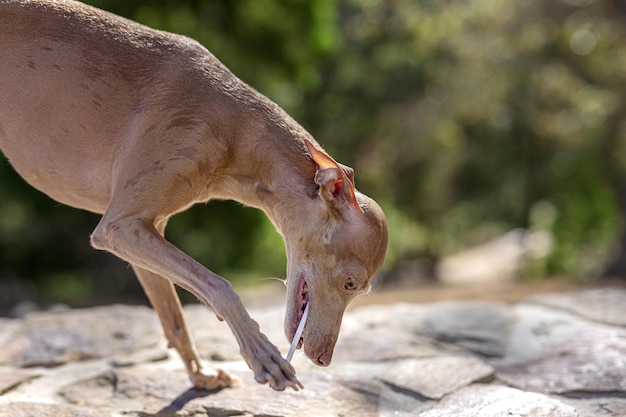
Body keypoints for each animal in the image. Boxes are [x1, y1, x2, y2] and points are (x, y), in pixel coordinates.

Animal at [0, 0, 388, 390]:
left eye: (359, 290)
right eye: (350, 283)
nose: (323, 358)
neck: (234, 124)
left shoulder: (144, 228)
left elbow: (174, 319)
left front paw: (200, 375)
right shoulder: (118, 228)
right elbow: (221, 286)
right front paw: (262, 355)